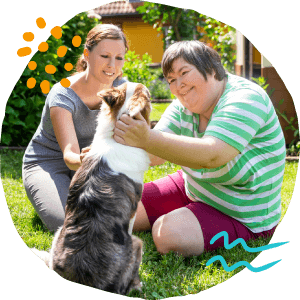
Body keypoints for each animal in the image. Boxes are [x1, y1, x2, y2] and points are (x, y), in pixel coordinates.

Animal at [30, 82, 151, 296]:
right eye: (149, 96)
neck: (114, 136)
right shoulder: (132, 213)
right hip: (137, 243)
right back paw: (138, 285)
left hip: (59, 232)